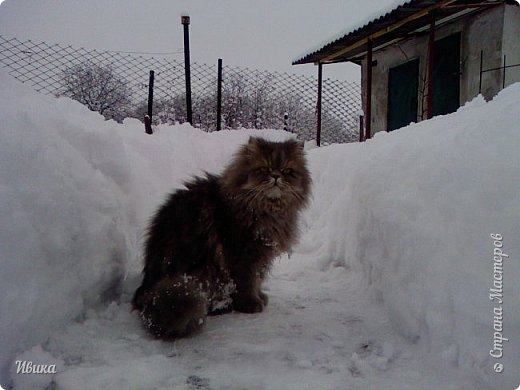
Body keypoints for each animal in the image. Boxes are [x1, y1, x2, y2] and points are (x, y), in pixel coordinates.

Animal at [132, 136, 310, 338]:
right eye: (263, 169)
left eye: (288, 171)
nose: (276, 176)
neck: (267, 210)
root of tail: (146, 291)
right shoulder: (244, 255)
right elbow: (248, 282)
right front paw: (252, 304)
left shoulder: (261, 256)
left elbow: (258, 279)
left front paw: (260, 296)